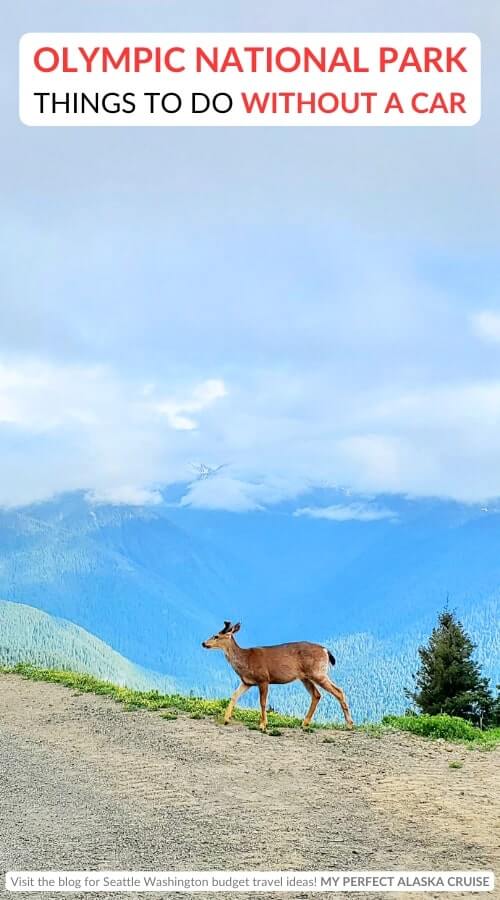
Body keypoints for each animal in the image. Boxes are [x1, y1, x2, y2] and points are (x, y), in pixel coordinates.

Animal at [202, 621, 353, 731]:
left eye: (216, 636)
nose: (203, 643)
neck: (245, 660)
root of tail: (326, 650)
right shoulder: (247, 682)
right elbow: (234, 696)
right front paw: (226, 719)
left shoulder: (264, 678)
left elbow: (262, 702)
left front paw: (263, 725)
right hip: (305, 676)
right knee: (317, 695)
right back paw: (305, 723)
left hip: (318, 672)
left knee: (338, 691)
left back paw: (349, 724)